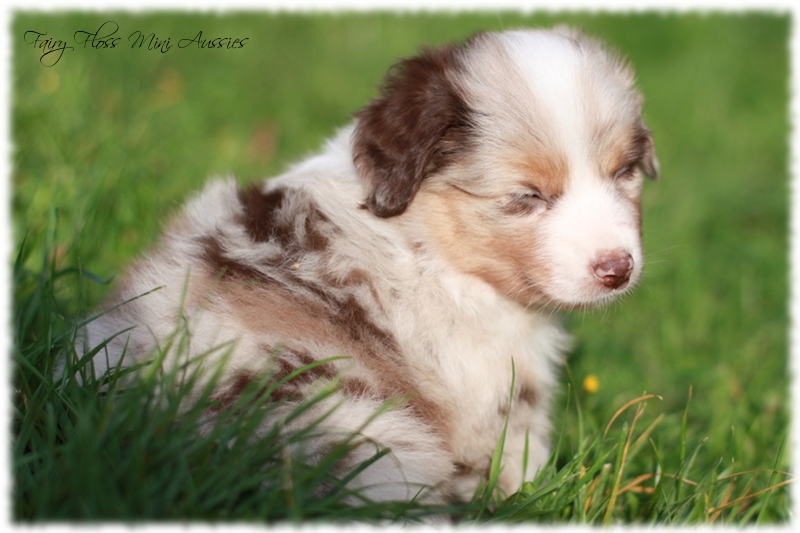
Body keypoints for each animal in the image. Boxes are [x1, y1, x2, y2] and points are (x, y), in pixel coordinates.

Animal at [78, 28, 660, 502]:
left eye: (624, 173)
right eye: (527, 196)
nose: (618, 269)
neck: (425, 238)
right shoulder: (491, 389)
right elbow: (516, 461)